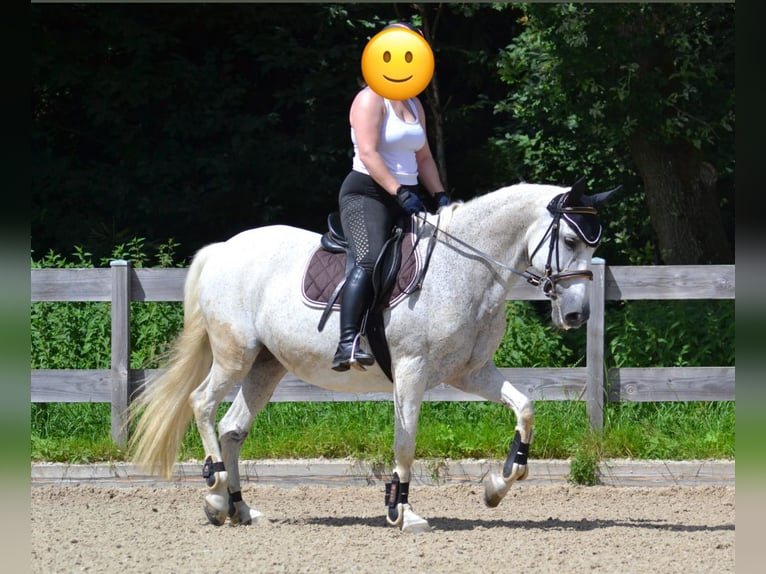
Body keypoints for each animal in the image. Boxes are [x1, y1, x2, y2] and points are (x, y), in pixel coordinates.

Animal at [128, 178, 619, 533]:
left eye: (593, 246)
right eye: (571, 240)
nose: (576, 315)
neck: (465, 269)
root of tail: (223, 249)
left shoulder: (472, 373)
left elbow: (526, 407)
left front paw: (497, 486)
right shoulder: (411, 371)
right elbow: (406, 443)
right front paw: (402, 513)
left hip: (267, 365)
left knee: (232, 428)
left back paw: (239, 509)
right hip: (236, 355)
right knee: (201, 403)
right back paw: (215, 494)